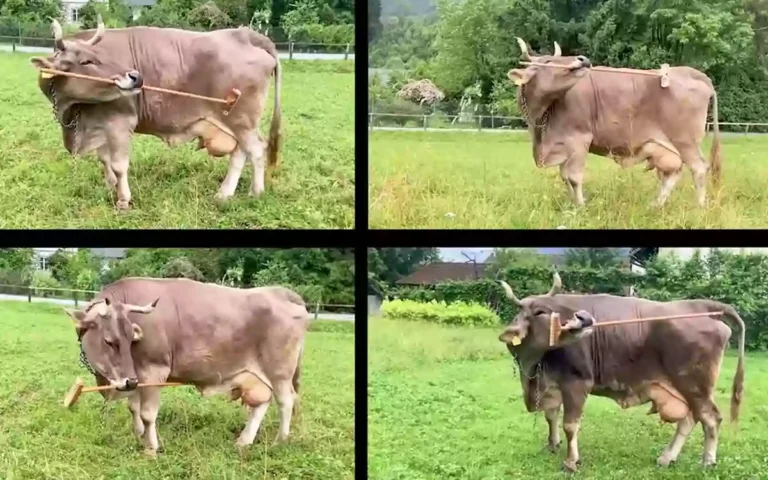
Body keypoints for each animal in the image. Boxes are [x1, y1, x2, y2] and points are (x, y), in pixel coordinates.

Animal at [30, 16, 281, 210]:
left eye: (96, 56)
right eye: (85, 61)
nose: (135, 76)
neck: (73, 115)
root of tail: (246, 34)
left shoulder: (120, 122)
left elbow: (119, 165)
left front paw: (123, 200)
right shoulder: (100, 124)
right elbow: (104, 160)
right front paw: (110, 187)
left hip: (242, 120)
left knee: (256, 149)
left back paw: (255, 193)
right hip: (235, 124)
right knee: (240, 153)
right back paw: (224, 194)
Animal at [63, 277, 309, 456]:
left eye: (129, 339)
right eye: (109, 341)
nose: (128, 381)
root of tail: (281, 292)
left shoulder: (153, 371)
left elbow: (148, 414)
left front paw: (151, 449)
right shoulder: (135, 377)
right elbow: (133, 408)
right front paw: (138, 435)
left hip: (280, 372)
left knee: (286, 402)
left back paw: (280, 441)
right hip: (257, 376)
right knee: (262, 403)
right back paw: (244, 441)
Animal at [497, 273, 745, 472]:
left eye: (553, 308)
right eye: (539, 311)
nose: (584, 317)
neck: (532, 366)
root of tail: (701, 307)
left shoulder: (577, 382)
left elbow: (570, 425)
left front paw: (571, 462)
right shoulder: (551, 384)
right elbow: (551, 415)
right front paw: (552, 444)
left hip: (695, 385)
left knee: (710, 418)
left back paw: (707, 461)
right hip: (686, 389)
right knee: (690, 419)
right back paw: (667, 458)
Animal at [507, 39, 722, 208]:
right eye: (549, 61)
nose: (582, 59)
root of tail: (695, 74)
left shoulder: (579, 140)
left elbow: (574, 177)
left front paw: (581, 207)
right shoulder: (563, 145)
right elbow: (564, 177)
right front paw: (571, 205)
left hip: (686, 141)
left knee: (699, 168)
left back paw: (699, 207)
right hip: (668, 147)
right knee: (673, 173)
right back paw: (656, 205)